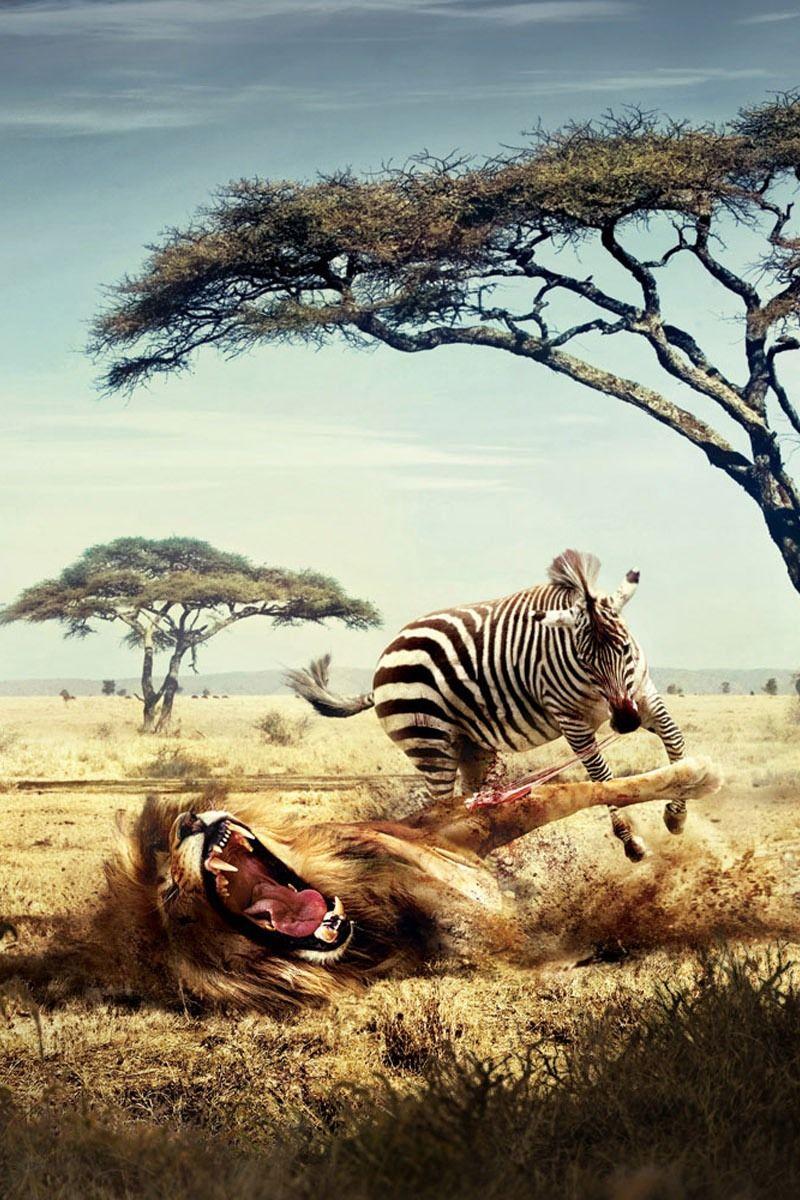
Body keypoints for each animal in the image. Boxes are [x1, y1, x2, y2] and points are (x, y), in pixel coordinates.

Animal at [286, 550, 686, 861]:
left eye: (625, 648)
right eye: (585, 660)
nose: (625, 722)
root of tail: (386, 656)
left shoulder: (642, 694)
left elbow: (676, 741)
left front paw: (676, 816)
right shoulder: (571, 720)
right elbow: (603, 778)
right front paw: (631, 842)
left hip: (470, 745)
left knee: (472, 803)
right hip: (428, 741)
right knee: (441, 807)